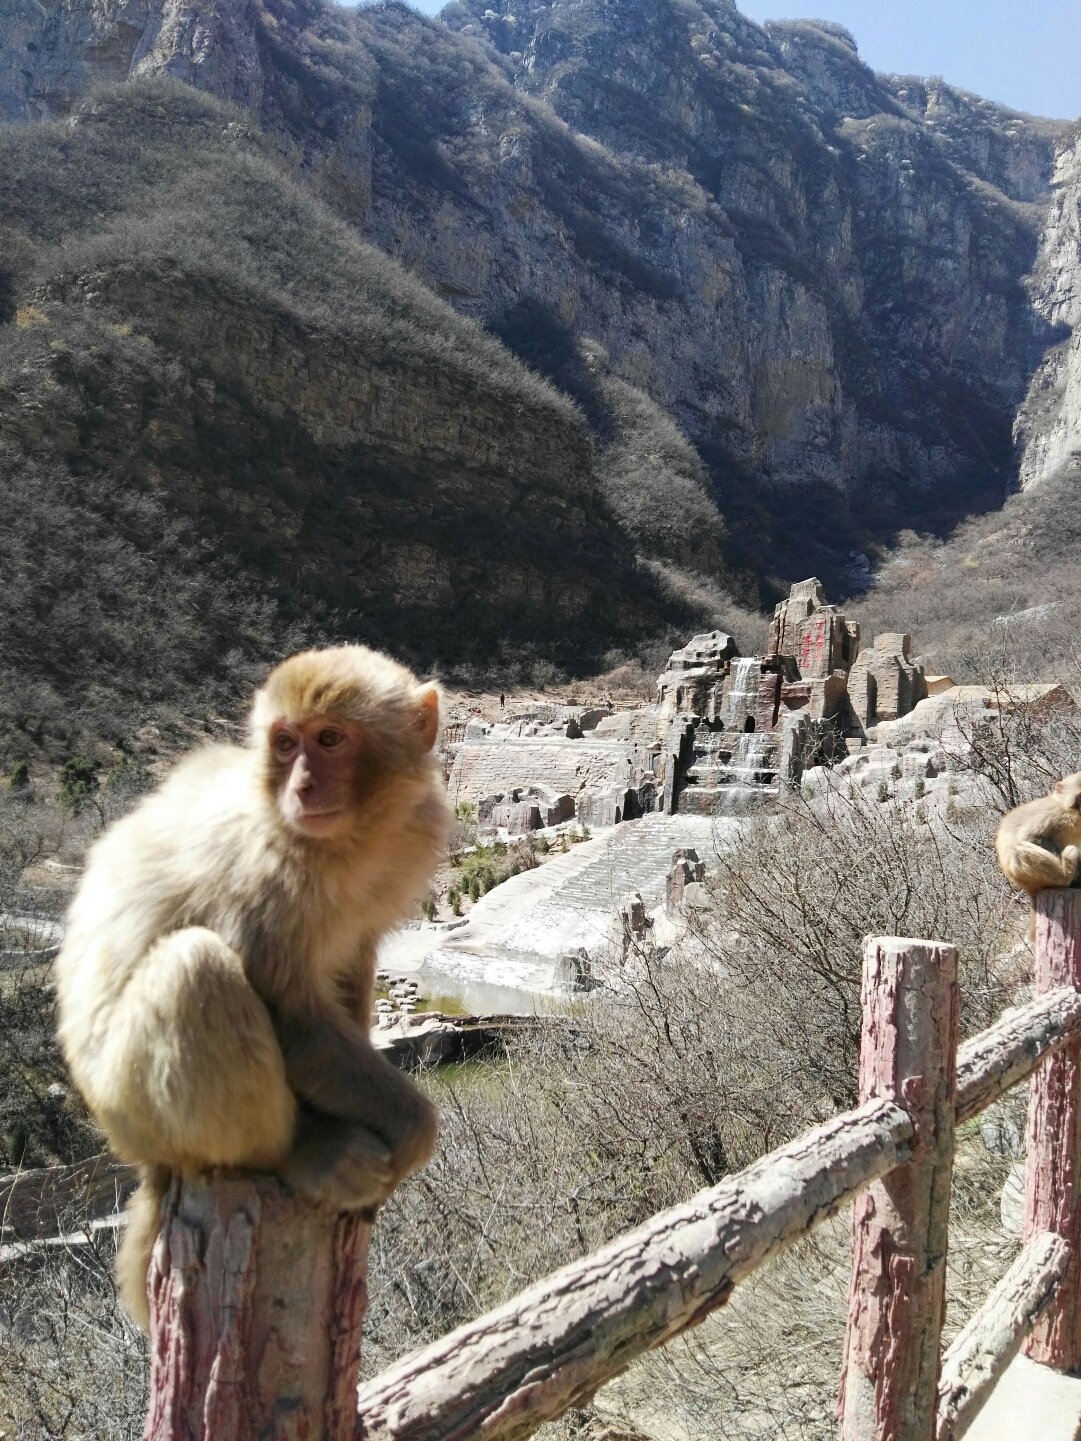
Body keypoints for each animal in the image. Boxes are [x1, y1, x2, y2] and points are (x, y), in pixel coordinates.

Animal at [52, 645, 449, 1325]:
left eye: (330, 739)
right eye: (285, 744)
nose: (302, 786)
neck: (348, 840)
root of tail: (138, 1154)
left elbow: (349, 965)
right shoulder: (260, 873)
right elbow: (290, 1012)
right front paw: (411, 1127)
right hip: (135, 1105)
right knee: (197, 970)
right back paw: (298, 1154)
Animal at [997, 772, 1081, 939]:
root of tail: (1028, 888)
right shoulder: (1055, 814)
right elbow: (1029, 837)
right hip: (1029, 876)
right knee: (1018, 849)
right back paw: (1066, 874)